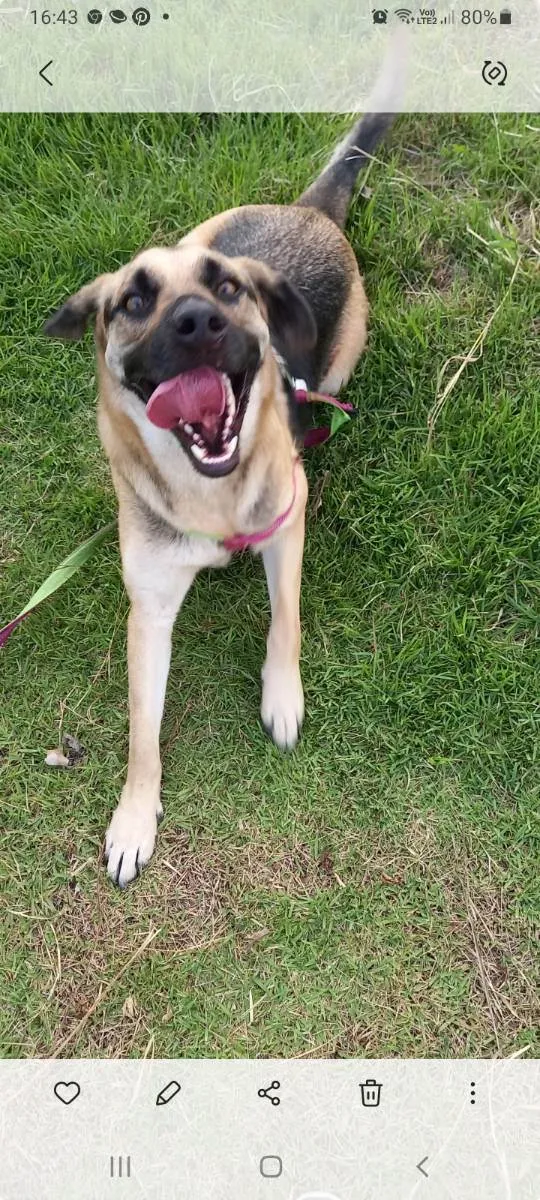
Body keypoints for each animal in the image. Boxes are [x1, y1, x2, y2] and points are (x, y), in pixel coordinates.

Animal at [45, 108, 396, 888]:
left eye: (229, 291)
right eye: (133, 301)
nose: (197, 322)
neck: (207, 494)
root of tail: (308, 211)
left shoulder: (287, 522)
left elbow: (285, 620)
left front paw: (282, 699)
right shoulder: (149, 613)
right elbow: (142, 733)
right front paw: (134, 817)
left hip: (343, 354)